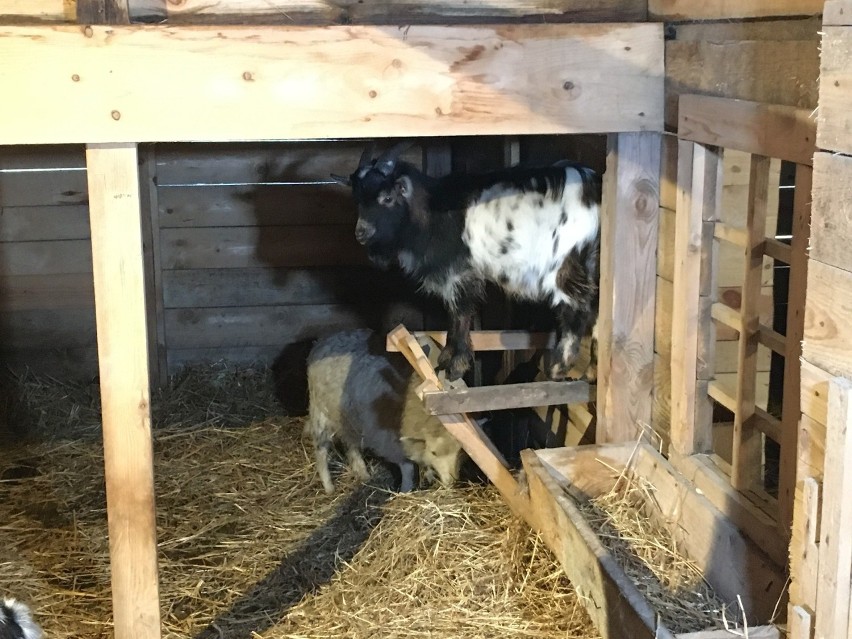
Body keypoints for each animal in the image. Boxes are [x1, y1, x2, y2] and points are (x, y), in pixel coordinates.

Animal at [332, 145, 600, 382]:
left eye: (387, 198)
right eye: (357, 199)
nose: (361, 233)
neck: (431, 214)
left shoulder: (460, 273)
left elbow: (460, 313)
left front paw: (456, 366)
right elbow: (452, 315)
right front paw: (446, 359)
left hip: (563, 262)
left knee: (576, 306)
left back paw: (558, 368)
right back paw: (590, 373)